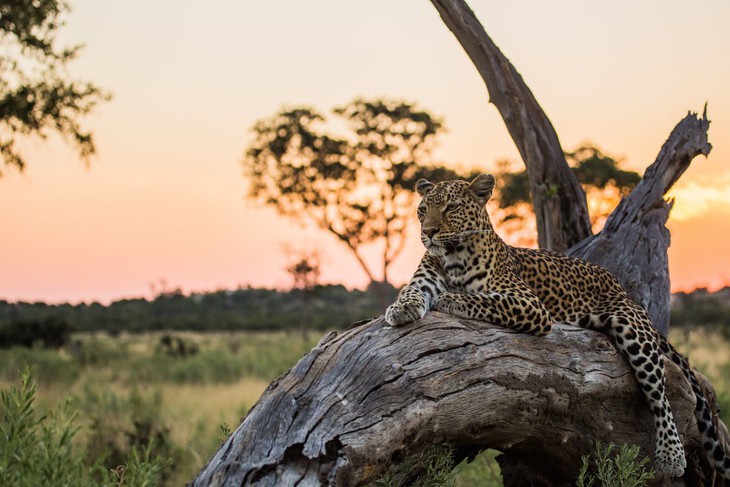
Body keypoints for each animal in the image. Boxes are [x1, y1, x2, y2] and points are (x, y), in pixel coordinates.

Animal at [384, 173, 724, 478]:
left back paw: (671, 454)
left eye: (451, 208)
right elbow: (412, 291)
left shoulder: (528, 304)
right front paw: (400, 308)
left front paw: (450, 300)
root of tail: (618, 284)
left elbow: (481, 298)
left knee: (660, 393)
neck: (453, 257)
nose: (428, 232)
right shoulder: (424, 278)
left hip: (631, 329)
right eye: (422, 209)